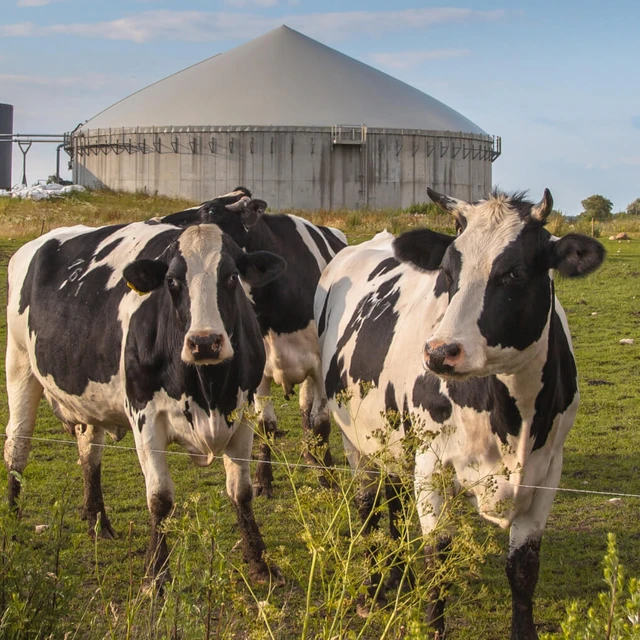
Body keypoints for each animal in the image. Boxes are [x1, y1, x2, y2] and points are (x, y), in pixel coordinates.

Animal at [4, 212, 284, 584]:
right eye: (172, 281)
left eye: (231, 278)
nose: (205, 342)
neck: (207, 391)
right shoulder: (145, 416)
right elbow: (160, 498)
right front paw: (156, 575)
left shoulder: (242, 413)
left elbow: (242, 492)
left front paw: (260, 563)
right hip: (19, 363)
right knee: (17, 444)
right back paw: (11, 520)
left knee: (89, 453)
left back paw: (97, 522)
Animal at [162, 188, 348, 498]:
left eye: (211, 211)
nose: (166, 223)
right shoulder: (259, 371)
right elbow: (266, 425)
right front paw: (263, 479)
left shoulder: (322, 365)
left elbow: (321, 422)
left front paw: (328, 478)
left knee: (309, 412)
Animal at [316, 189, 604, 640]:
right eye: (448, 273)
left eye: (515, 273)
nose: (440, 352)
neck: (511, 420)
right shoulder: (432, 467)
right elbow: (438, 562)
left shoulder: (547, 472)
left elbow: (523, 569)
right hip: (354, 439)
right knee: (366, 505)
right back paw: (373, 586)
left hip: (393, 438)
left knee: (393, 498)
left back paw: (398, 575)